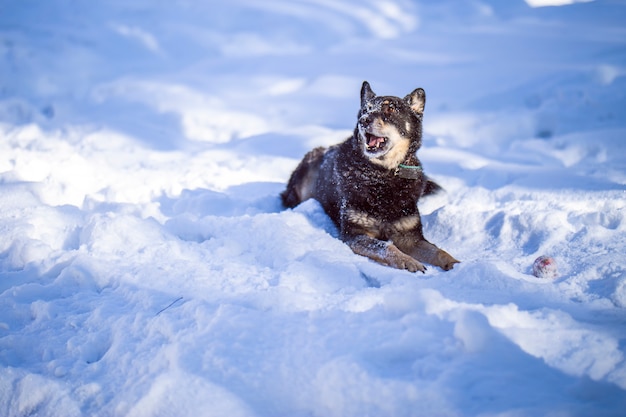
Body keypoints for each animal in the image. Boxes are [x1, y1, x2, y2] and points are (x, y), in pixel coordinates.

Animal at [280, 81, 456, 272]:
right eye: (366, 109)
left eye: (390, 109)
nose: (363, 120)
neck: (383, 175)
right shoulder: (355, 235)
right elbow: (386, 246)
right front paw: (408, 261)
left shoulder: (411, 237)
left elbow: (437, 251)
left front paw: (456, 265)